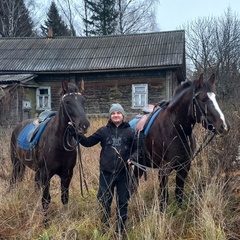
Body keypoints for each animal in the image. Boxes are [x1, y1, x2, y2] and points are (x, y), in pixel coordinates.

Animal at [9, 81, 90, 224]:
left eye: (83, 101)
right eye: (67, 102)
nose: (84, 125)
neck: (58, 141)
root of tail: (18, 126)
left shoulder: (67, 174)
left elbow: (64, 197)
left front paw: (64, 219)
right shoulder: (46, 174)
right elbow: (46, 199)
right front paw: (46, 223)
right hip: (17, 164)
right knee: (14, 181)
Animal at [132, 73, 230, 212]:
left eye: (216, 97)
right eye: (203, 98)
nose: (224, 127)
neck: (175, 128)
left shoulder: (184, 166)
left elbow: (179, 193)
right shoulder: (164, 170)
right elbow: (164, 197)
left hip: (140, 164)